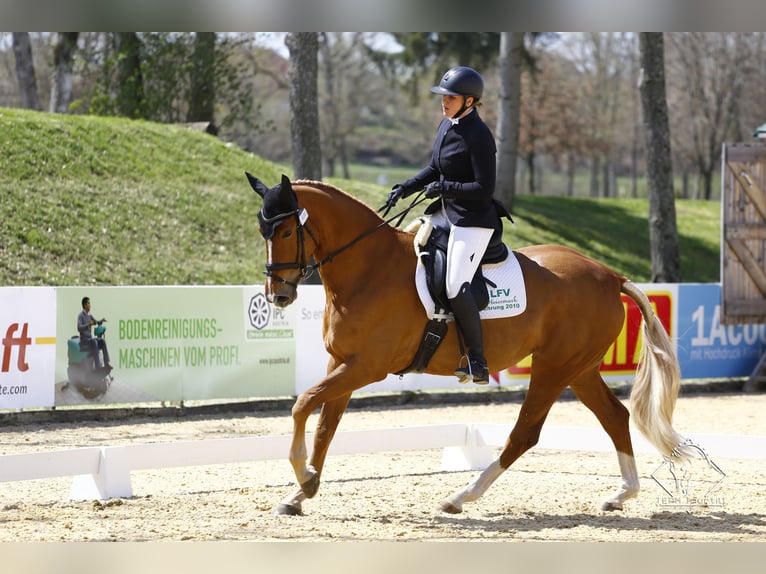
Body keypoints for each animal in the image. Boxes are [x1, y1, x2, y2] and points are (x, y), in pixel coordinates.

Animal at [246, 172, 696, 516]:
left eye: (286, 230)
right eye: (262, 230)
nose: (278, 296)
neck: (368, 267)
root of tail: (609, 274)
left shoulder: (365, 367)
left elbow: (302, 404)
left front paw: (303, 477)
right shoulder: (341, 363)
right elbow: (325, 426)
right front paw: (301, 493)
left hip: (553, 367)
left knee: (525, 434)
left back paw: (460, 497)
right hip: (579, 369)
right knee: (615, 417)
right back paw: (621, 494)